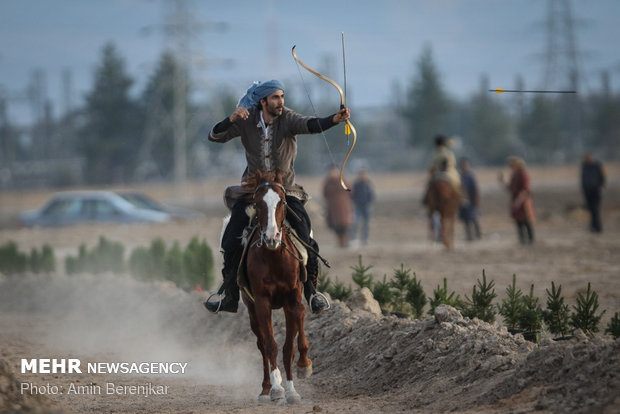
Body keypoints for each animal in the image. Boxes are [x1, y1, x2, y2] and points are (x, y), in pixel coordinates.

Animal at [241, 169, 310, 404]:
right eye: (257, 202)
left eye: (282, 201)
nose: (272, 237)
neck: (274, 258)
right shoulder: (262, 303)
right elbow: (270, 345)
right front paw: (277, 388)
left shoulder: (293, 300)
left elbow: (289, 347)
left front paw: (292, 388)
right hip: (251, 309)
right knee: (262, 345)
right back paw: (266, 388)